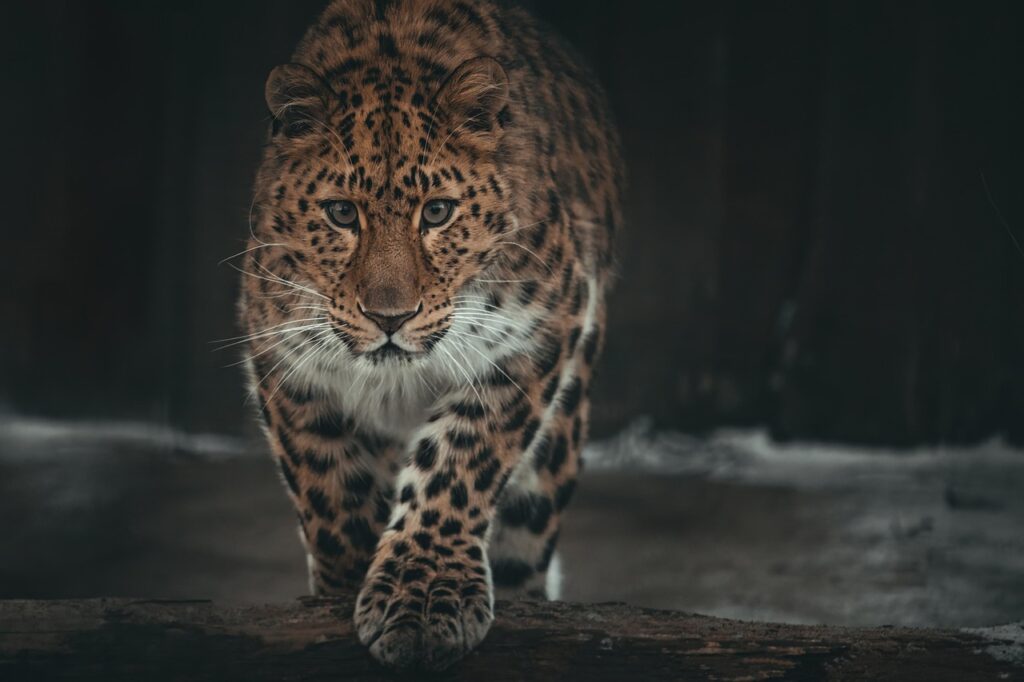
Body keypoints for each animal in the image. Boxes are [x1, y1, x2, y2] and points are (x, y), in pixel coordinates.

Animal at [236, 0, 623, 670]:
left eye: (437, 212)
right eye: (342, 213)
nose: (390, 317)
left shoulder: (541, 331)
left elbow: (459, 462)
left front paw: (423, 597)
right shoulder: (281, 350)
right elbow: (328, 485)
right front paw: (344, 583)